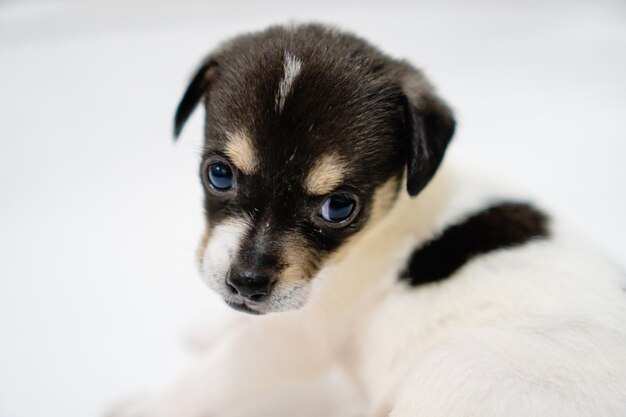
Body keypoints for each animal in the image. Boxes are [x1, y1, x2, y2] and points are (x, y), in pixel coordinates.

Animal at [111, 23, 624, 416]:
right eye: (218, 174)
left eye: (339, 207)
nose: (246, 283)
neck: (389, 214)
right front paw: (210, 326)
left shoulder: (295, 335)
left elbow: (210, 378)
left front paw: (144, 406)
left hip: (446, 374)